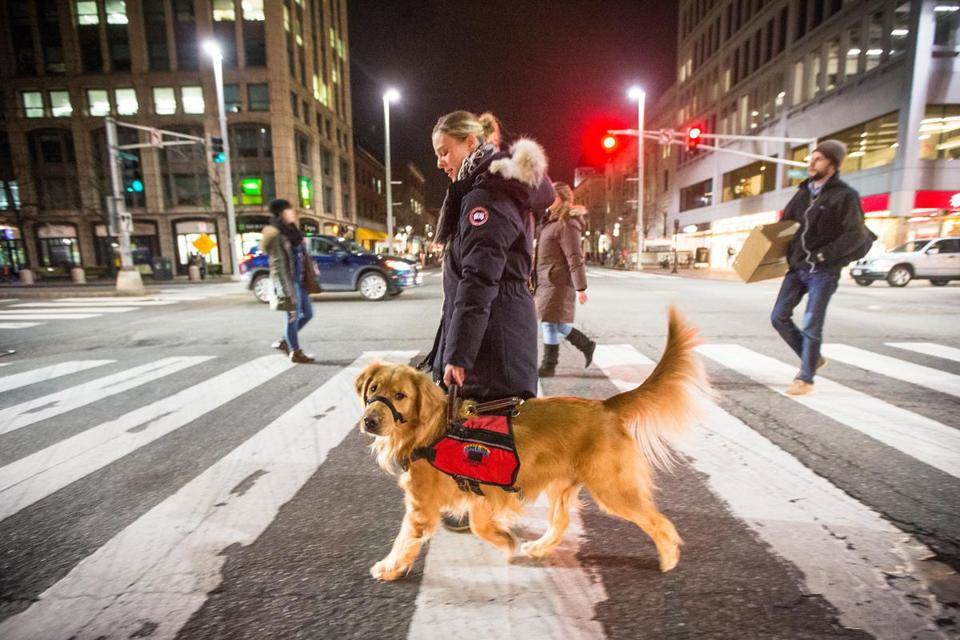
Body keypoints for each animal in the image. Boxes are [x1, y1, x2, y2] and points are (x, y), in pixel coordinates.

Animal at [352, 304, 704, 580]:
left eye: (400, 396)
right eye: (373, 389)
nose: (369, 421)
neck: (432, 428)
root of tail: (605, 404)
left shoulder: (423, 506)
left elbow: (406, 539)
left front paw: (390, 568)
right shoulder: (481, 493)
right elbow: (479, 525)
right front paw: (506, 540)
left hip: (613, 487)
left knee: (659, 521)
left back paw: (669, 557)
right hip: (562, 485)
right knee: (562, 522)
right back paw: (540, 546)